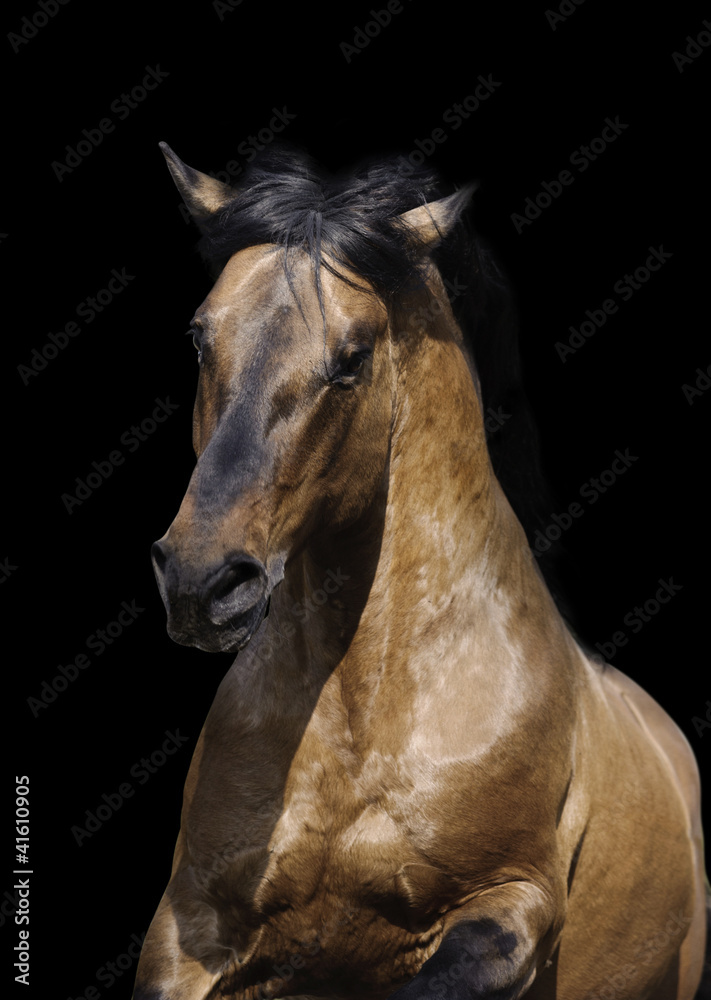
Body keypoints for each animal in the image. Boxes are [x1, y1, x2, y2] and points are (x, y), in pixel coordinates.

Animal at [133, 143, 708, 1000]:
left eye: (352, 359)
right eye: (199, 337)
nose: (203, 582)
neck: (366, 719)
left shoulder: (511, 906)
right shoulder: (192, 928)